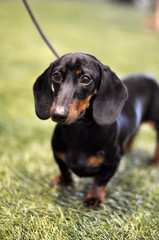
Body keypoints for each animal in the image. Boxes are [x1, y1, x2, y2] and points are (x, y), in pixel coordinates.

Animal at [33, 52, 158, 208]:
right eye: (56, 75)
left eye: (86, 79)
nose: (58, 114)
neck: (79, 131)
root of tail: (148, 76)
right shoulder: (58, 155)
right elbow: (64, 170)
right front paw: (62, 180)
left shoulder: (113, 162)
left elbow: (100, 181)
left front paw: (94, 198)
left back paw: (154, 161)